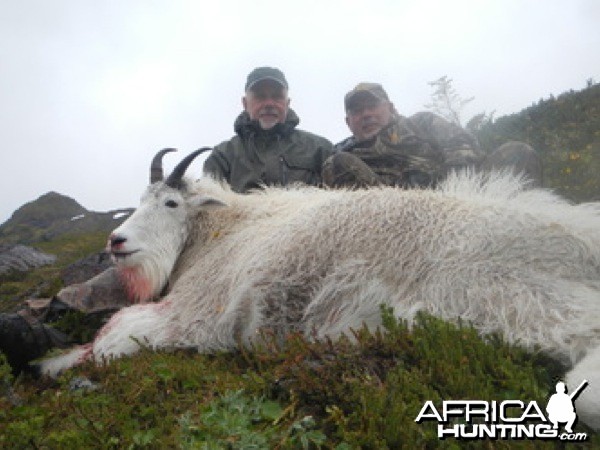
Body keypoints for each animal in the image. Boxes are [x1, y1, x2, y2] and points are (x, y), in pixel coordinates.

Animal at [41, 149, 600, 430]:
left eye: (171, 203)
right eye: (140, 200)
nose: (116, 242)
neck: (220, 231)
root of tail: (583, 242)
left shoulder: (197, 314)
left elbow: (114, 339)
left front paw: (53, 364)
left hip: (503, 299)